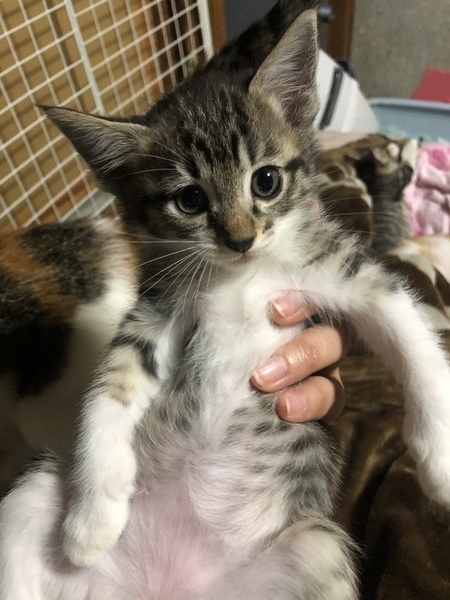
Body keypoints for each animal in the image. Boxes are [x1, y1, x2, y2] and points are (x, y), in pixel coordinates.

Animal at [2, 8, 450, 600]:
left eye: (267, 181)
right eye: (190, 199)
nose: (240, 239)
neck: (237, 276)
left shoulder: (340, 270)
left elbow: (406, 326)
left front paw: (440, 458)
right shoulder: (155, 307)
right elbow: (111, 386)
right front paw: (90, 520)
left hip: (316, 546)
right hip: (31, 494)